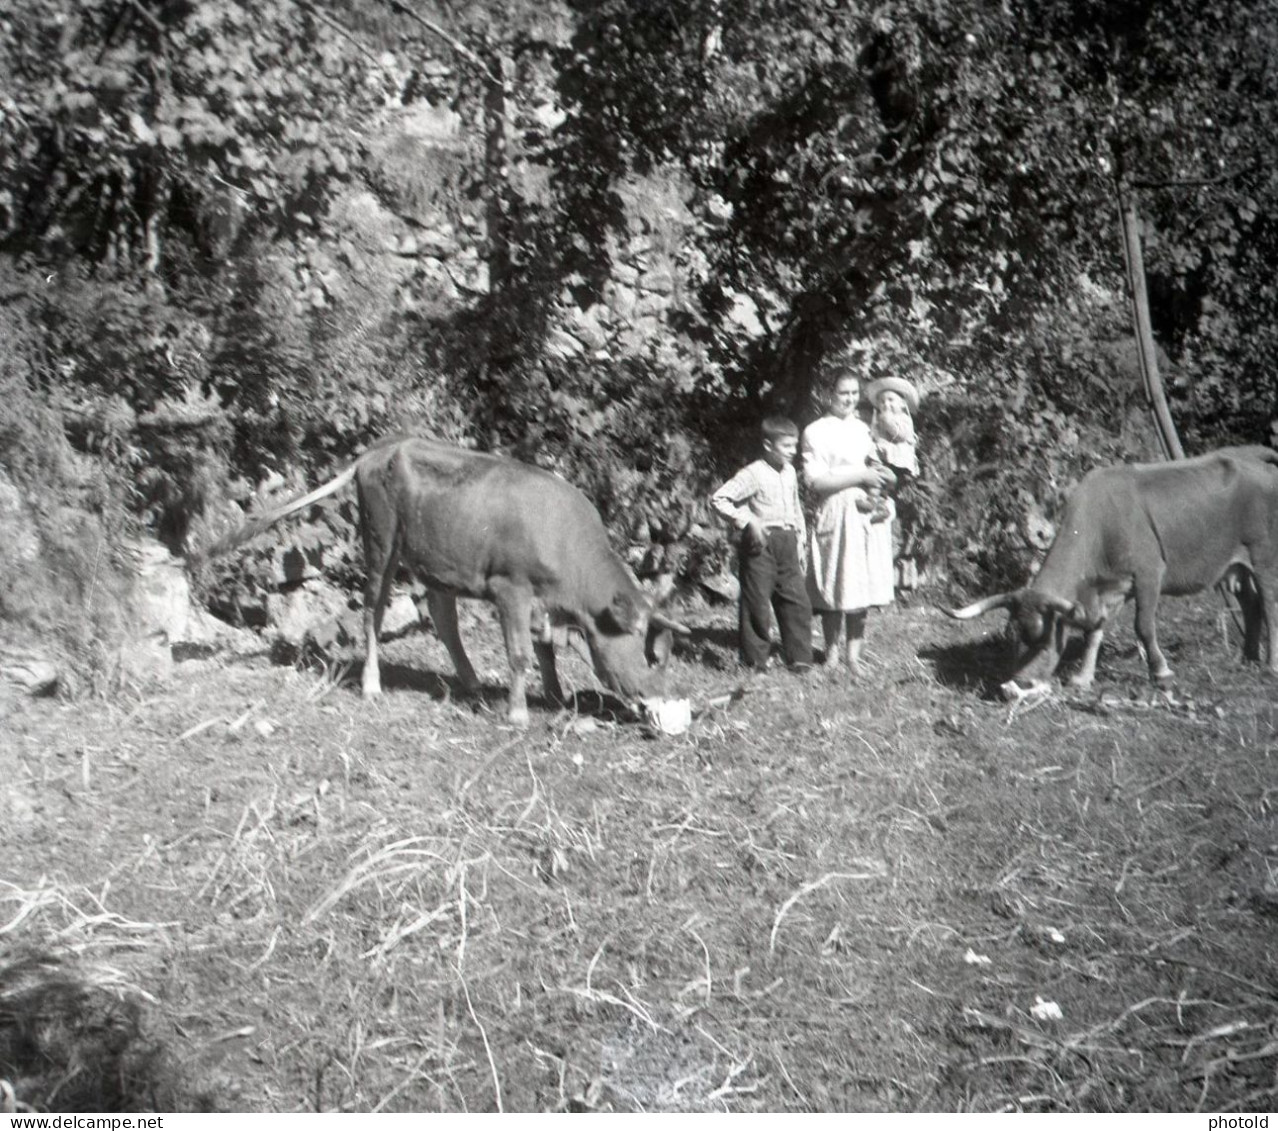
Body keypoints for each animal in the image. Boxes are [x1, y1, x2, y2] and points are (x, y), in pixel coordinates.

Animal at [207, 431, 690, 725]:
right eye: (651, 658)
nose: (657, 698)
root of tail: (378, 450)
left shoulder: (540, 600)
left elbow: (545, 647)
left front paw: (554, 696)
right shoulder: (510, 589)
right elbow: (520, 653)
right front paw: (517, 713)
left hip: (437, 559)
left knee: (443, 617)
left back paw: (471, 683)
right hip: (381, 542)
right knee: (372, 613)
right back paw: (372, 685)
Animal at [945, 444, 1278, 695]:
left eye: (1043, 639)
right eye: (1013, 637)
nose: (1016, 686)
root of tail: (1251, 456)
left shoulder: (1149, 573)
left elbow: (1143, 627)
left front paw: (1161, 673)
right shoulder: (1108, 588)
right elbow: (1094, 631)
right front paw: (1083, 678)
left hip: (1264, 555)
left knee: (1270, 605)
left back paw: (1270, 665)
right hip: (1237, 565)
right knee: (1251, 603)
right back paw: (1248, 658)